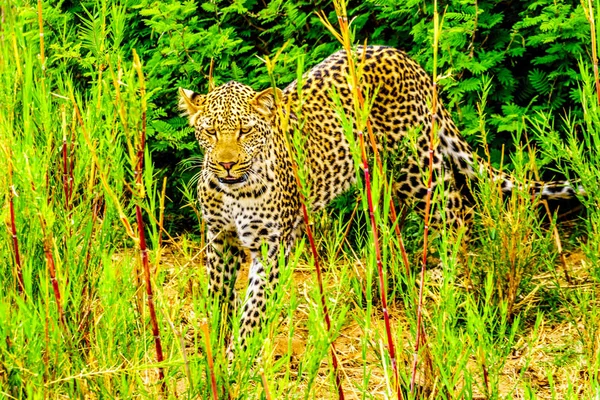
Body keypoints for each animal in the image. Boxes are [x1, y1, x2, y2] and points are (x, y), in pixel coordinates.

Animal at [178, 45, 580, 354]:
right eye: (209, 132)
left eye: (245, 131)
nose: (226, 164)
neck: (234, 192)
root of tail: (406, 58)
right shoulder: (219, 238)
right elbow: (218, 296)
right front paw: (214, 348)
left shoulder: (273, 246)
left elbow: (254, 310)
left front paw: (238, 359)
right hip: (386, 174)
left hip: (416, 167)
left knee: (455, 213)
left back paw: (445, 282)